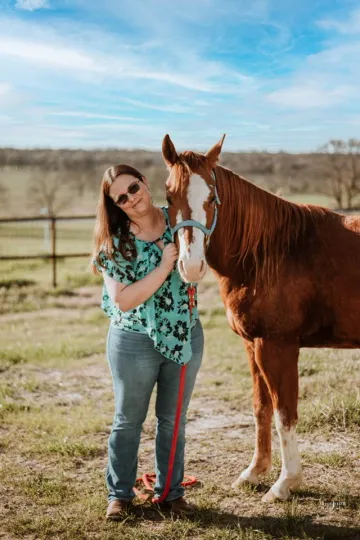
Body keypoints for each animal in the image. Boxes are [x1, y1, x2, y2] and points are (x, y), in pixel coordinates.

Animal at [162, 134, 360, 502]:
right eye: (169, 196)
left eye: (211, 198)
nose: (192, 266)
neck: (267, 253)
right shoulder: (252, 346)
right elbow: (261, 408)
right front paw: (254, 472)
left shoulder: (277, 346)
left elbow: (285, 413)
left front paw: (285, 484)